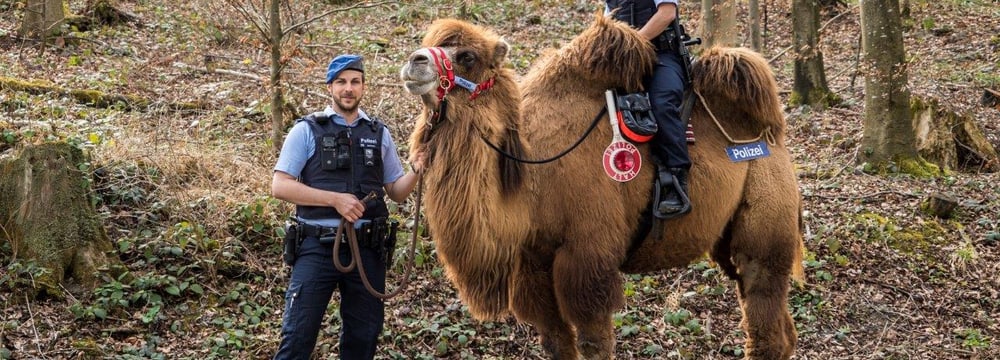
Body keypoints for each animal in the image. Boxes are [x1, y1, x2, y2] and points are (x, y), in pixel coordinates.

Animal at [398, 14, 804, 360]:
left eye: (466, 56)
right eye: (429, 44)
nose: (414, 61)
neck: (532, 179)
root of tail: (774, 131)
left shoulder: (587, 257)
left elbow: (595, 342)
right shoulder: (532, 265)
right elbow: (556, 343)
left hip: (766, 224)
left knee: (764, 306)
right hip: (728, 240)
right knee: (778, 326)